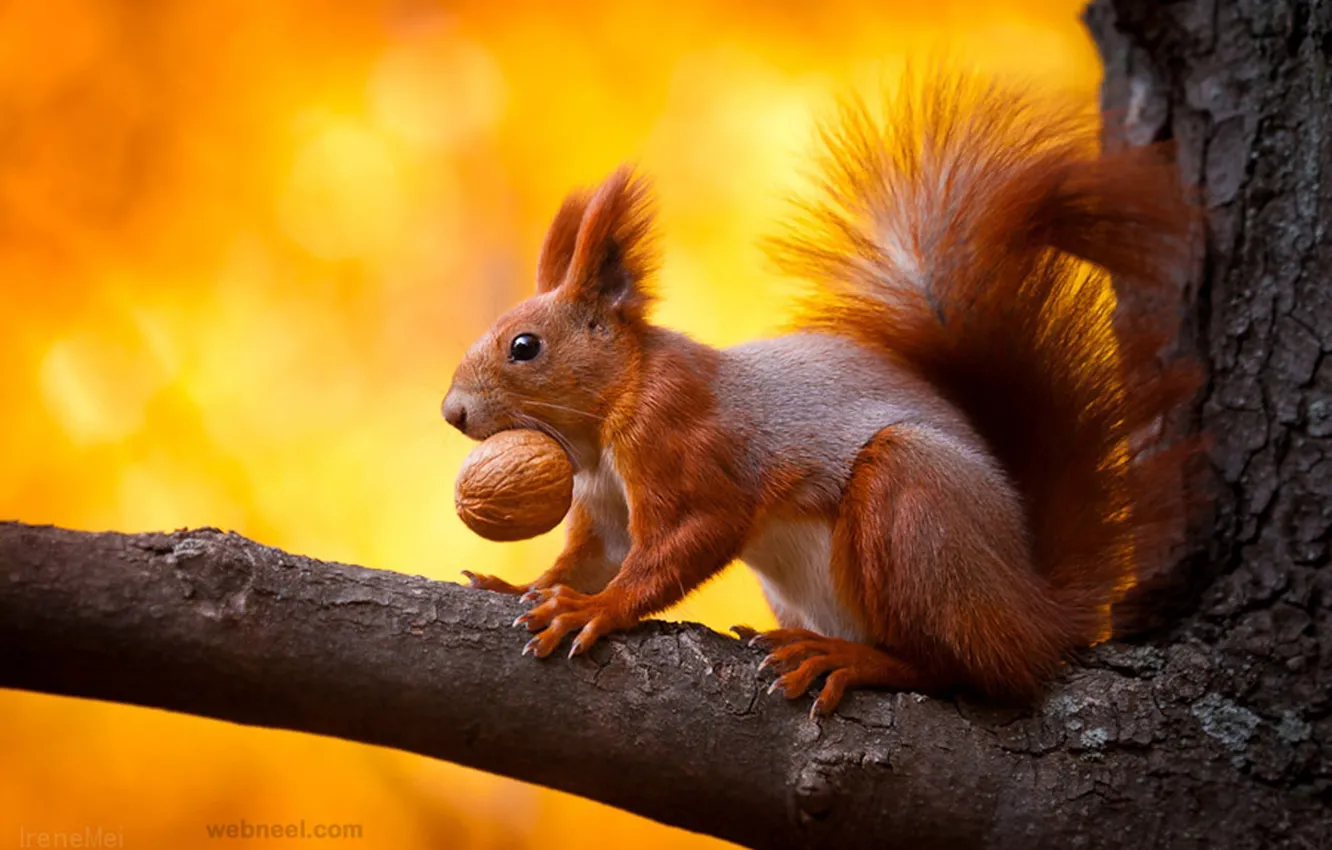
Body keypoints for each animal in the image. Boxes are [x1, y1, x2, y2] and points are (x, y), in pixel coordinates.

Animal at [442, 70, 1200, 716]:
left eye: (524, 347)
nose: (453, 413)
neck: (602, 426)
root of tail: (1034, 611)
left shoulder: (683, 440)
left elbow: (689, 538)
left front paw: (596, 610)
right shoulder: (605, 508)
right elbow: (588, 559)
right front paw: (525, 587)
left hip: (916, 506)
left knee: (963, 669)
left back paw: (852, 661)